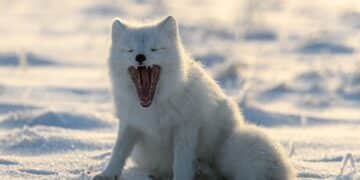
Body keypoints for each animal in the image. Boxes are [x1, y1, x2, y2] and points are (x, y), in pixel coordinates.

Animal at [93, 16, 296, 179]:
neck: (154, 106)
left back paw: (202, 170)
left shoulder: (186, 127)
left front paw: (182, 178)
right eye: (129, 50)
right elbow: (118, 152)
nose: (140, 57)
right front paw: (107, 174)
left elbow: (181, 163)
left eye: (155, 49)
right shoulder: (130, 124)